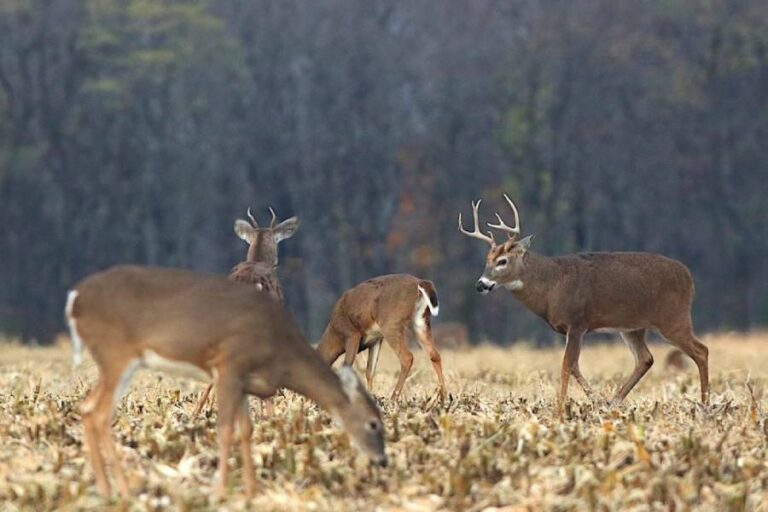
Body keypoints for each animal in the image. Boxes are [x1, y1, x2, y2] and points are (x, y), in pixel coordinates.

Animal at [65, 265, 386, 498]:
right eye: (374, 423)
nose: (382, 460)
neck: (279, 354)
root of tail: (75, 298)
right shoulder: (229, 367)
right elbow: (225, 430)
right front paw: (220, 491)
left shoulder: (244, 382)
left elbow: (246, 430)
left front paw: (251, 490)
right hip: (117, 353)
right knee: (99, 413)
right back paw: (121, 490)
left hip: (110, 361)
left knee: (86, 408)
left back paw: (106, 487)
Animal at [315, 274, 448, 402]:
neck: (335, 333)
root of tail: (419, 283)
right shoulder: (376, 340)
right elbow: (370, 371)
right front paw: (371, 396)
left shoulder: (352, 334)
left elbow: (347, 366)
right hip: (420, 322)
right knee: (434, 355)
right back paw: (444, 397)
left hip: (391, 324)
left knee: (407, 357)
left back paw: (393, 398)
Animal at [458, 194, 709, 407]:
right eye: (487, 260)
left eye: (502, 261)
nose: (480, 284)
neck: (551, 285)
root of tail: (689, 278)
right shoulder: (570, 329)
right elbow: (575, 366)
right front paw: (596, 399)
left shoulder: (577, 322)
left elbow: (566, 365)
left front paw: (560, 409)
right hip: (633, 327)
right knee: (645, 358)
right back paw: (613, 401)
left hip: (673, 318)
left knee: (701, 350)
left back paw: (705, 403)